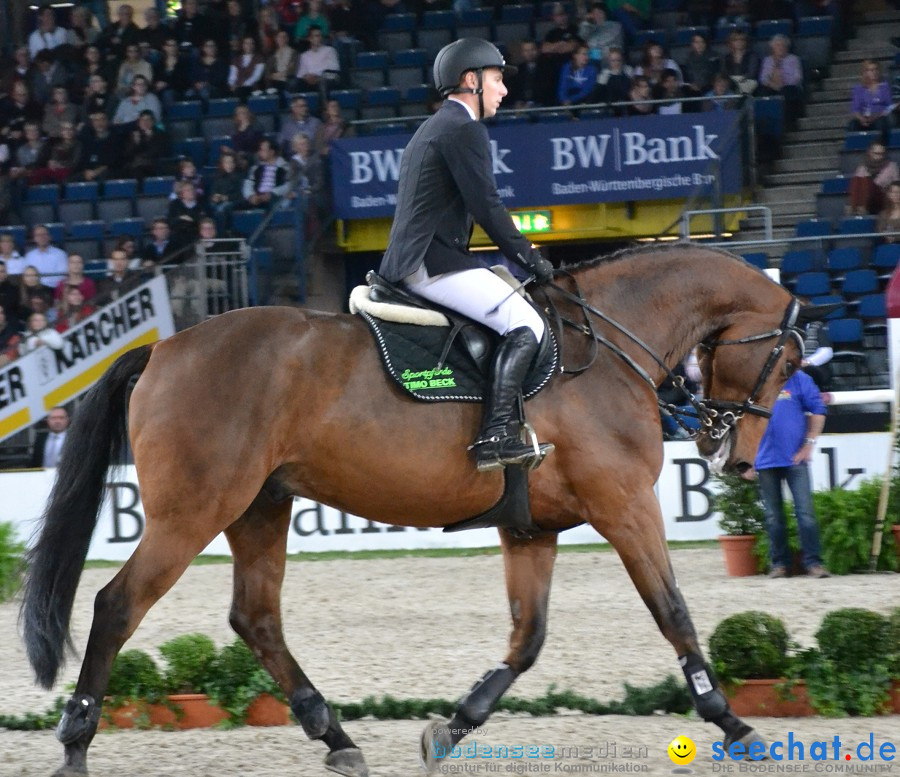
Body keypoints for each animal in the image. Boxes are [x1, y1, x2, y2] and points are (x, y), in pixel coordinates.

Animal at [24, 244, 804, 776]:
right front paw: (732, 722)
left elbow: (527, 638)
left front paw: (451, 728)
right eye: (789, 363)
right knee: (117, 605)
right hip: (192, 512)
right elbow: (672, 611)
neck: (607, 349)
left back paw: (335, 736)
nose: (734, 459)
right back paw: (76, 742)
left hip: (259, 506)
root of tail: (161, 349)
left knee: (257, 618)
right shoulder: (626, 507)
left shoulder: (533, 528)